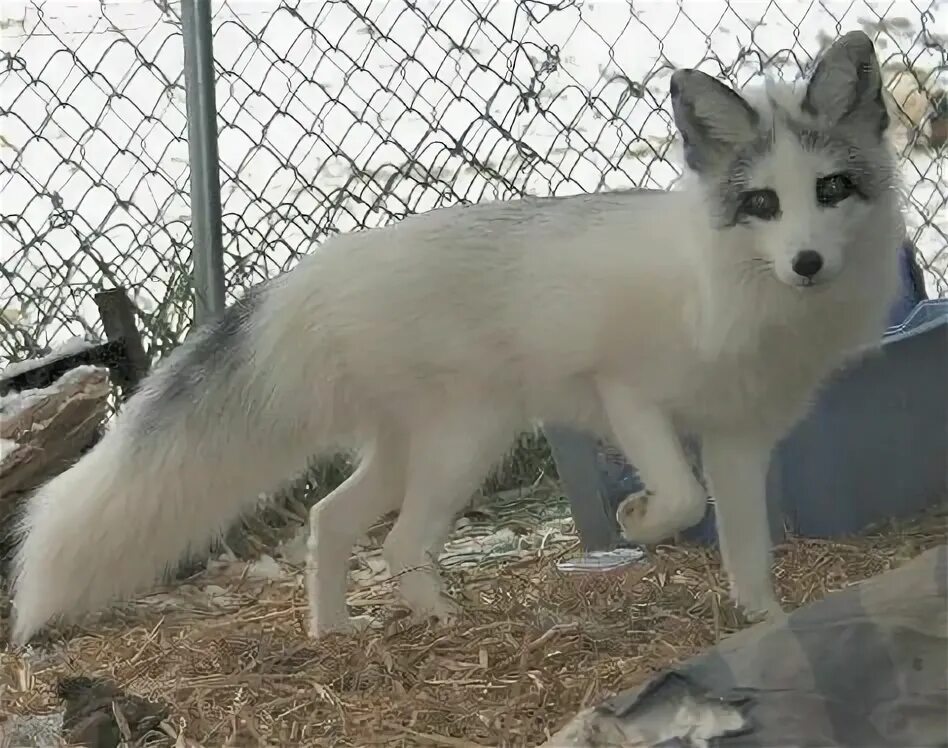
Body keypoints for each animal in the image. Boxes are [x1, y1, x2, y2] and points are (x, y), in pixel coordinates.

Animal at [9, 32, 904, 644]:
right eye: (762, 204)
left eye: (831, 189)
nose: (808, 262)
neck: (734, 293)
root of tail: (312, 273)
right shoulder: (629, 396)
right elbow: (683, 499)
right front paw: (640, 519)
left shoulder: (740, 441)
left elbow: (748, 549)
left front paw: (765, 621)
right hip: (465, 440)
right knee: (401, 542)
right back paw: (443, 619)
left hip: (415, 450)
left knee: (332, 520)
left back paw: (335, 633)